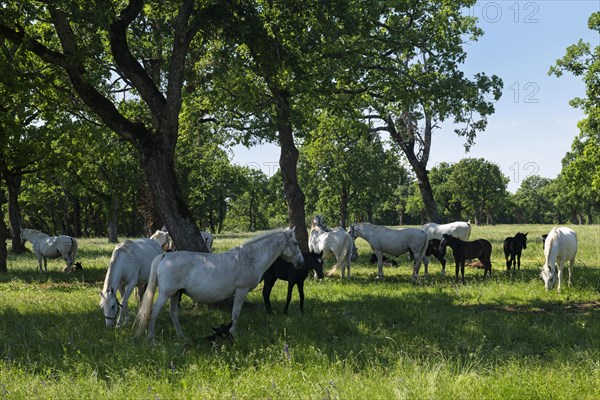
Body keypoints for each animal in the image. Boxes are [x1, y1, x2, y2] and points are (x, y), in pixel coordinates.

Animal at [134, 227, 302, 340]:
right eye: (295, 242)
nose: (301, 261)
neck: (249, 258)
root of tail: (165, 256)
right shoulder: (241, 291)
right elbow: (235, 313)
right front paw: (233, 334)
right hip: (165, 293)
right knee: (154, 311)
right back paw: (151, 338)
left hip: (175, 293)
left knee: (173, 313)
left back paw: (181, 336)